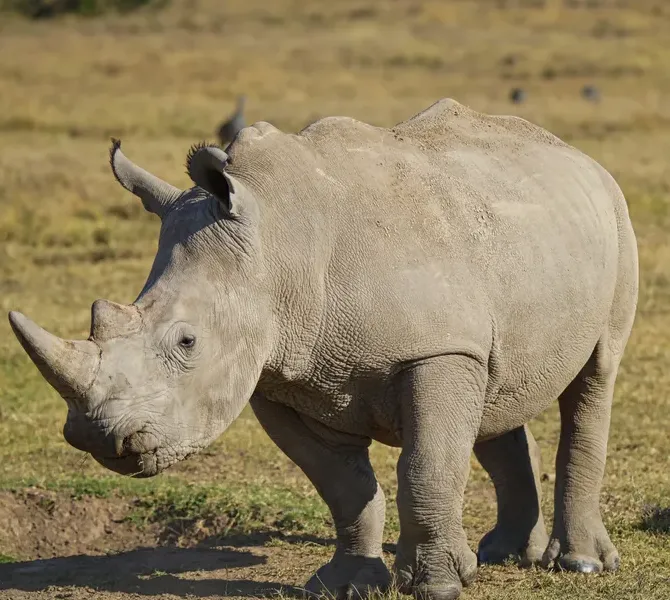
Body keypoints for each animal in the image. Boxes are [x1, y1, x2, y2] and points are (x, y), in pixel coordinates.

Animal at [9, 98, 638, 600]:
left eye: (188, 341)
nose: (98, 439)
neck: (276, 245)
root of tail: (575, 153)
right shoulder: (278, 375)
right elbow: (343, 485)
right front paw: (346, 584)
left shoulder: (435, 351)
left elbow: (426, 466)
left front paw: (437, 587)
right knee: (496, 387)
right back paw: (502, 553)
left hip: (614, 213)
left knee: (595, 376)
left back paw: (579, 565)